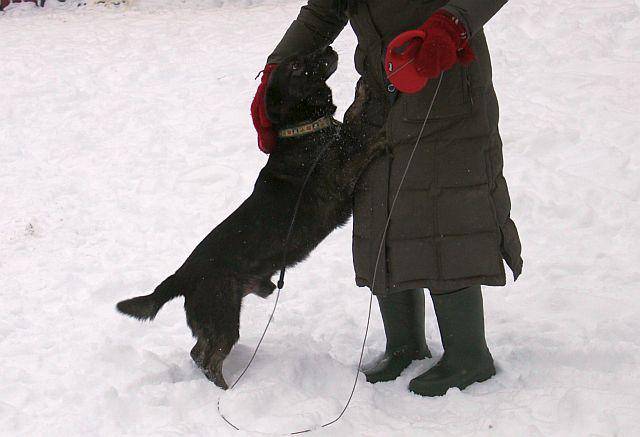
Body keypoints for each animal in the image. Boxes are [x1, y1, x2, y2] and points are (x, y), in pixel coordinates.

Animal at [116, 46, 383, 389]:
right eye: (296, 65)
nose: (329, 48)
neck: (305, 131)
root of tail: (182, 276)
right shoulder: (339, 178)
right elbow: (362, 147)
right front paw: (383, 139)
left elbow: (352, 116)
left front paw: (362, 92)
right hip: (223, 317)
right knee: (207, 358)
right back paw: (226, 391)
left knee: (198, 352)